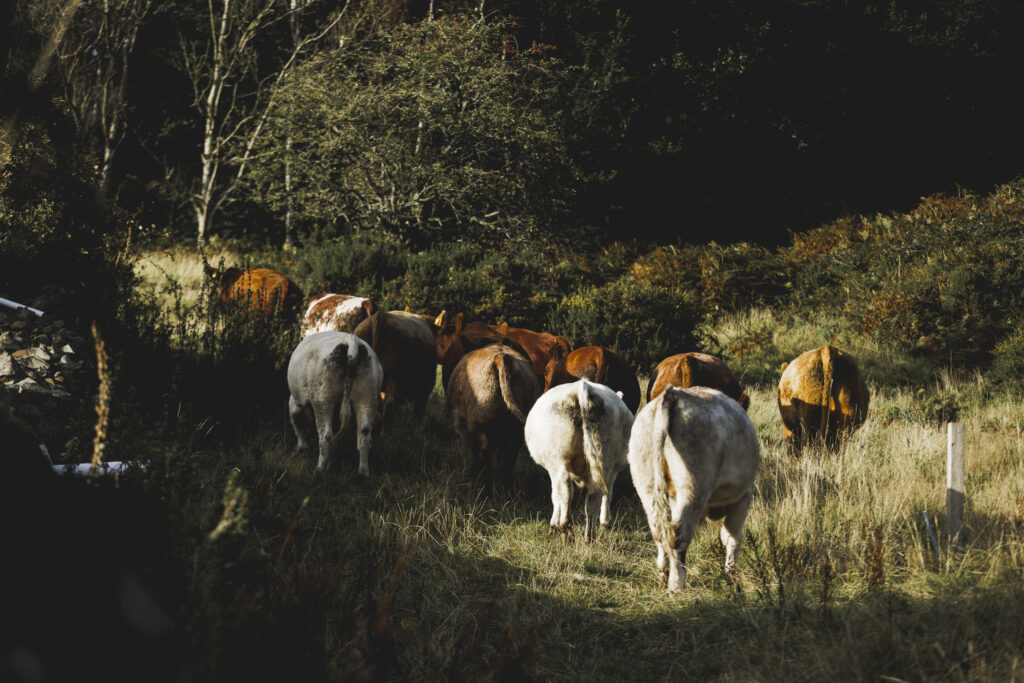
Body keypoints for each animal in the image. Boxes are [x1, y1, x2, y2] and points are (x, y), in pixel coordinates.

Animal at [286, 331, 383, 476]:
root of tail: (350, 340)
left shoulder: (296, 401)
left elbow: (296, 422)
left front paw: (302, 448)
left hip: (322, 399)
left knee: (325, 436)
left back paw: (320, 469)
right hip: (367, 397)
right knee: (364, 433)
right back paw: (363, 472)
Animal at [446, 344, 541, 493]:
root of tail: (500, 357)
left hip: (479, 425)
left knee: (483, 455)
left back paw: (483, 489)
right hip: (517, 430)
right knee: (509, 457)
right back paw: (505, 489)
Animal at [524, 380, 634, 542]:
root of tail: (582, 387)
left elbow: (555, 496)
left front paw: (553, 525)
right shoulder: (612, 469)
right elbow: (608, 494)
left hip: (559, 460)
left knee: (565, 491)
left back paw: (566, 530)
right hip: (604, 460)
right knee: (594, 496)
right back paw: (589, 537)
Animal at [628, 387, 760, 592]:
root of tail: (672, 394)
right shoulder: (743, 496)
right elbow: (732, 537)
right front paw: (732, 573)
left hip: (647, 486)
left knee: (660, 533)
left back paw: (663, 577)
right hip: (694, 490)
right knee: (678, 537)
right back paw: (676, 585)